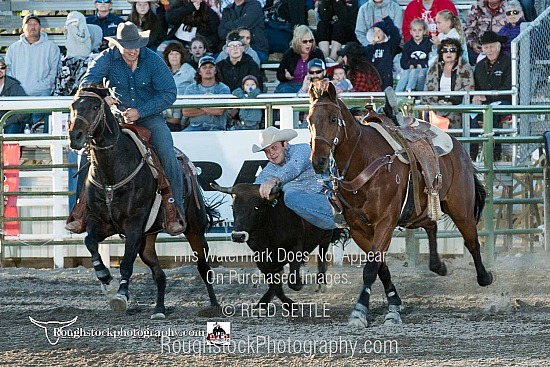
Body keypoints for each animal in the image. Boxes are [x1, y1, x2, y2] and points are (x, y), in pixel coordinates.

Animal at [70, 86, 221, 320]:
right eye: (73, 106)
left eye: (95, 106)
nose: (74, 136)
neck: (113, 172)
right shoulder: (100, 222)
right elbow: (90, 243)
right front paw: (106, 280)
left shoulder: (134, 223)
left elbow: (126, 263)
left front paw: (121, 295)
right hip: (147, 240)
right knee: (159, 274)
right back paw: (159, 309)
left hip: (195, 229)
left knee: (204, 268)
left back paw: (214, 306)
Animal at [308, 82, 494, 326]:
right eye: (309, 119)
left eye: (332, 118)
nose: (318, 161)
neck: (364, 160)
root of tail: (458, 147)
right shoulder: (359, 229)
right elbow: (381, 267)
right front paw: (394, 305)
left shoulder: (385, 222)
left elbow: (371, 268)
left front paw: (359, 312)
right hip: (417, 210)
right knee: (431, 225)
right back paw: (437, 265)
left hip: (460, 207)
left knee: (471, 241)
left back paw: (484, 277)